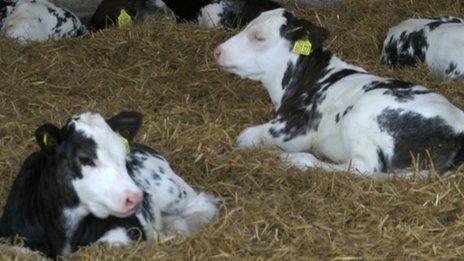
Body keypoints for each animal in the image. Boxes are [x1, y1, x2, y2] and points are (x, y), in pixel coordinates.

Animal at [0, 110, 218, 256]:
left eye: (123, 155)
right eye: (85, 158)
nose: (136, 198)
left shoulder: (130, 228)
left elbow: (107, 243)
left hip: (170, 191)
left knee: (203, 203)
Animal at [215, 8, 464, 179]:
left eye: (259, 37)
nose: (217, 51)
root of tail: (458, 129)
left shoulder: (292, 129)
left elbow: (244, 137)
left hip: (361, 114)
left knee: (361, 168)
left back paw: (295, 160)